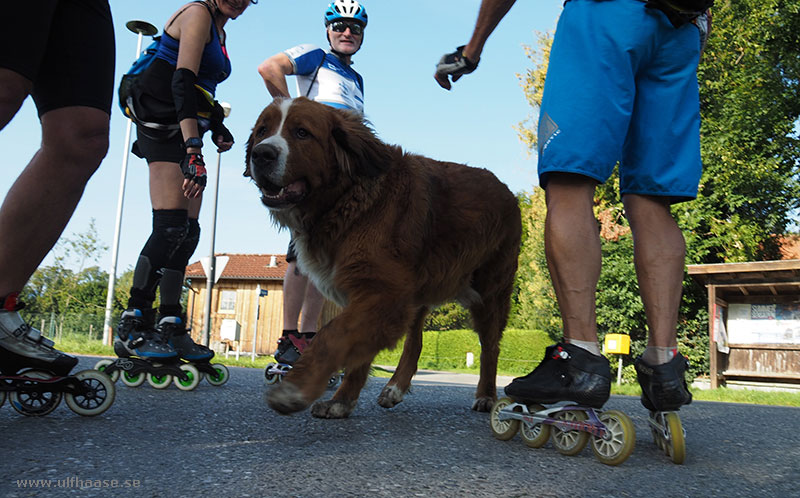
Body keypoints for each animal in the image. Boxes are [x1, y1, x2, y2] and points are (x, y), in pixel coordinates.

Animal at [244, 97, 520, 416]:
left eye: (302, 133)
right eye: (262, 131)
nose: (261, 154)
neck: (345, 200)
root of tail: (508, 191)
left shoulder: (383, 293)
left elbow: (330, 335)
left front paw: (296, 388)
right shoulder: (374, 296)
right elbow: (355, 350)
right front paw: (341, 400)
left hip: (489, 294)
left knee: (490, 347)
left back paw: (486, 395)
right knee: (415, 341)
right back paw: (395, 388)